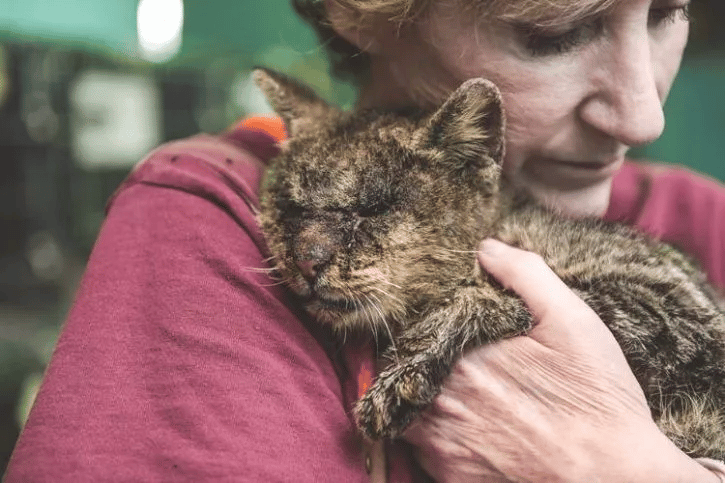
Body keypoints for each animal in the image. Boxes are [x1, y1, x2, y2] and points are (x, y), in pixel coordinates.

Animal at [253, 67, 724, 458]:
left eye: (373, 210)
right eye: (291, 207)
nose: (307, 261)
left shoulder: (679, 315)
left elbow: (483, 295)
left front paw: (402, 378)